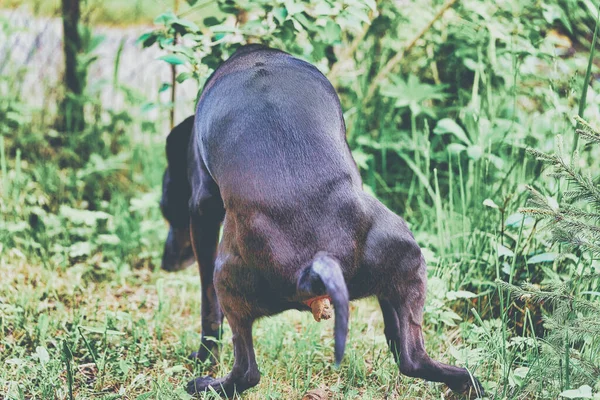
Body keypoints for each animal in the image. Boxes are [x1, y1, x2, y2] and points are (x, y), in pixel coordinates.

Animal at [159, 44, 482, 396]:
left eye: (166, 208)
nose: (165, 263)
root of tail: (317, 262)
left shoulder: (201, 212)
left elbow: (208, 309)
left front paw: (204, 355)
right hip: (407, 260)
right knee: (412, 357)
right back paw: (467, 381)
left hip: (226, 281)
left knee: (247, 370)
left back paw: (205, 384)